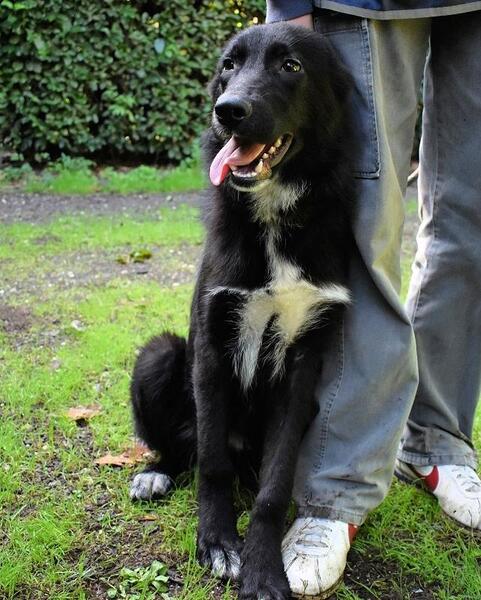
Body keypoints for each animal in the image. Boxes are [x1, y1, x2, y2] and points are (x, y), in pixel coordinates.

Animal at [130, 22, 355, 600]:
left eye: (291, 66)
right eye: (228, 66)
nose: (227, 111)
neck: (274, 217)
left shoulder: (302, 370)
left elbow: (274, 489)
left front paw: (262, 566)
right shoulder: (212, 348)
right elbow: (212, 466)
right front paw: (217, 543)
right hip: (160, 357)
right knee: (189, 452)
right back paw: (156, 472)